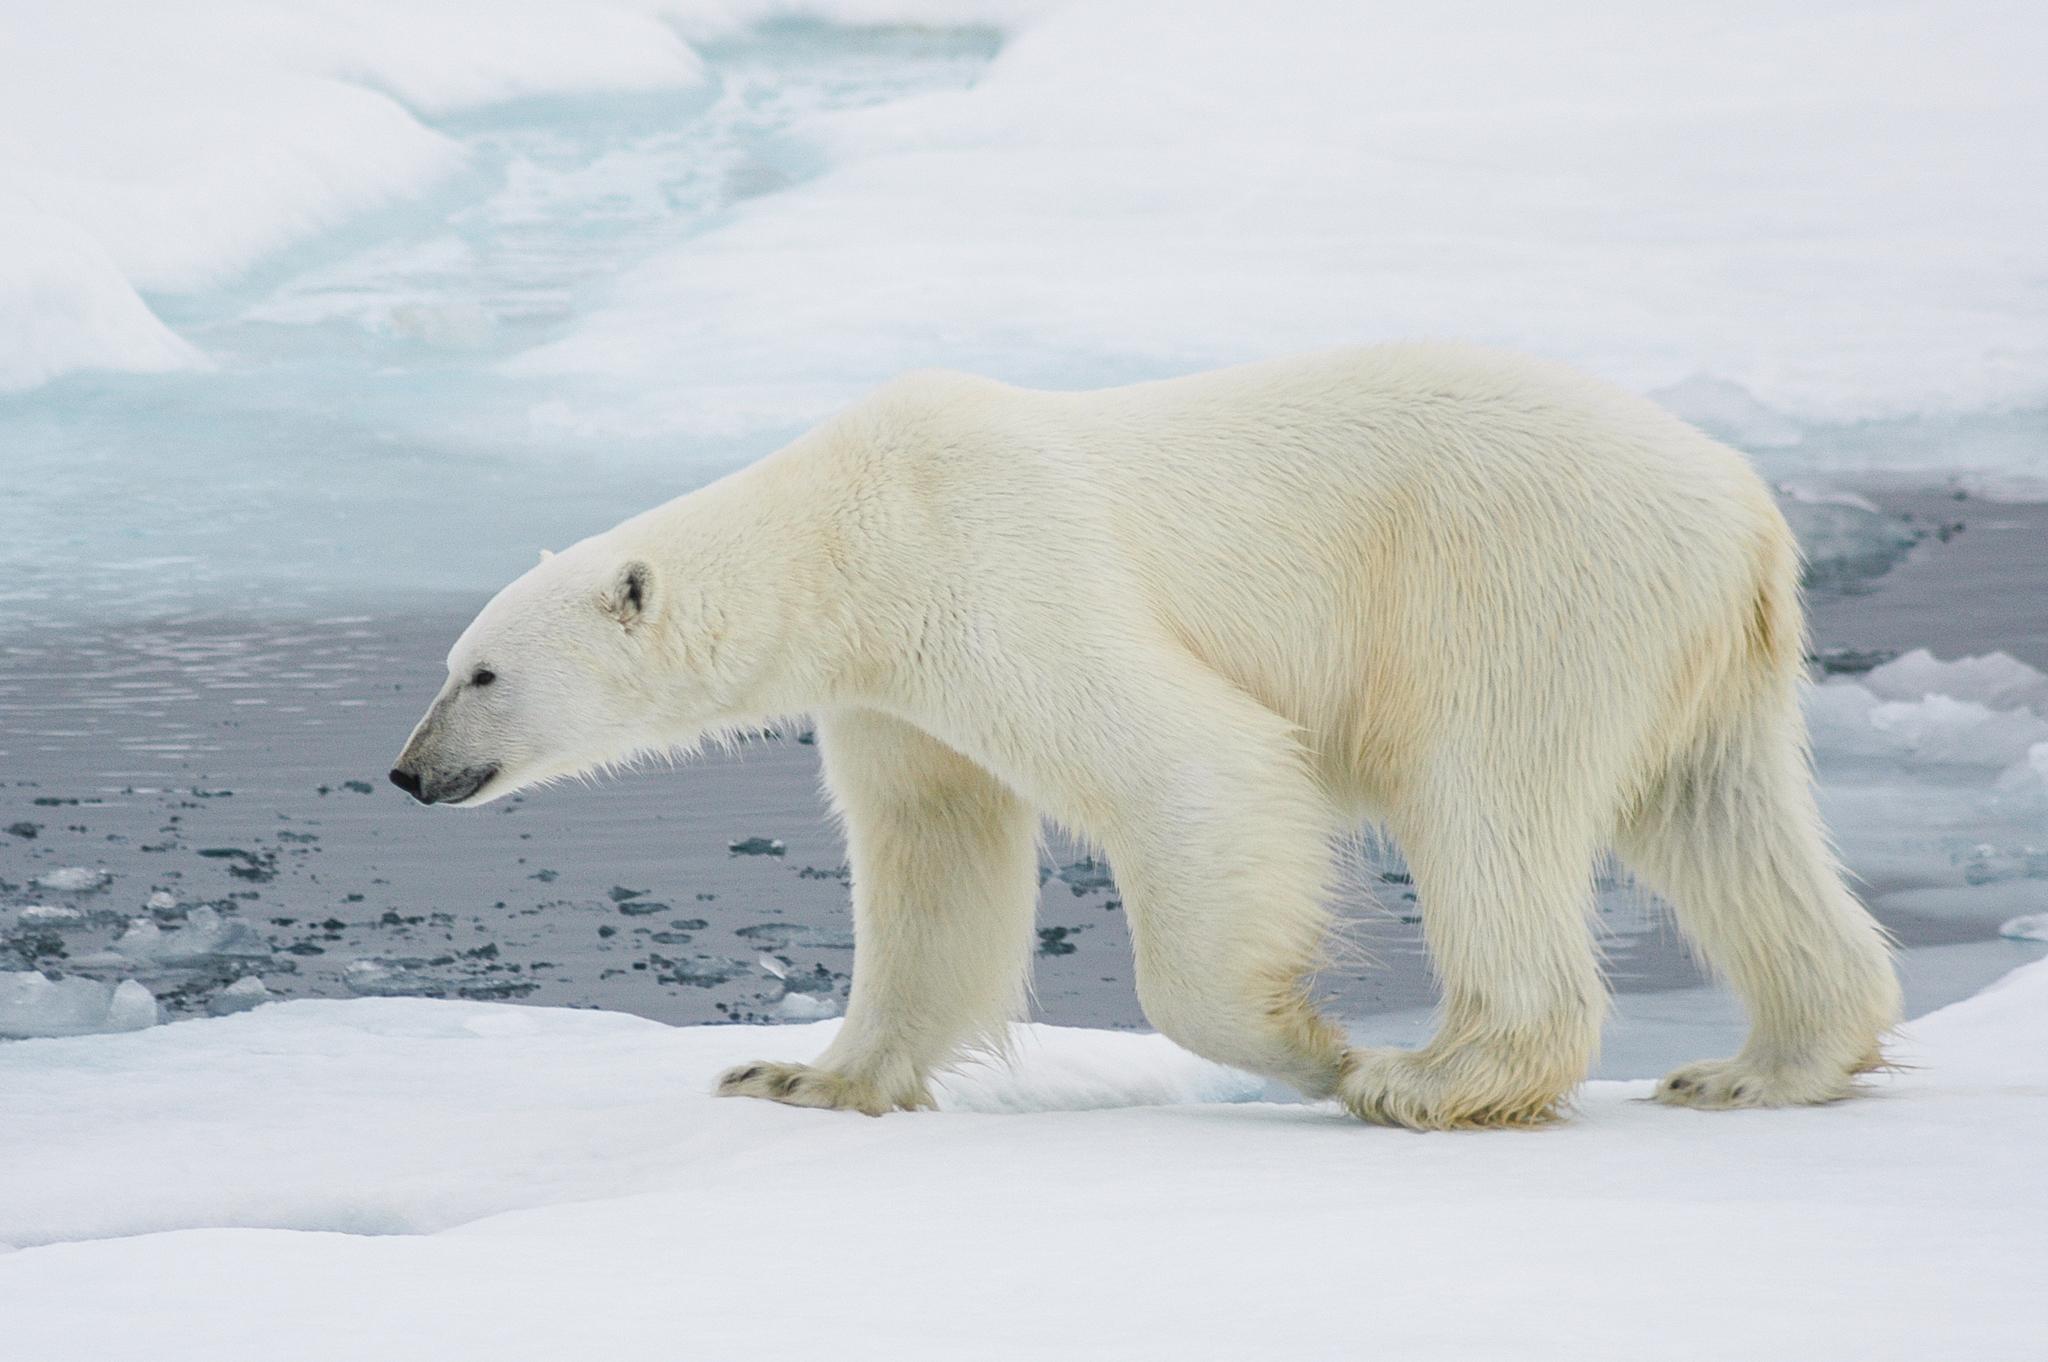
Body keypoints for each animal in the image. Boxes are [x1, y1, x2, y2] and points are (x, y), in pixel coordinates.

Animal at [390, 344, 1901, 1129]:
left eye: (479, 672)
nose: (407, 771)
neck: (853, 527)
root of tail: (1746, 508)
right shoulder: (892, 688)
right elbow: (933, 858)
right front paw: (801, 1074)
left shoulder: (993, 567)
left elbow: (1195, 764)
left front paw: (1314, 1046)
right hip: (1692, 647)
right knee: (1720, 816)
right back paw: (1760, 1064)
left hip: (1523, 587)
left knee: (1485, 799)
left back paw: (1429, 1075)